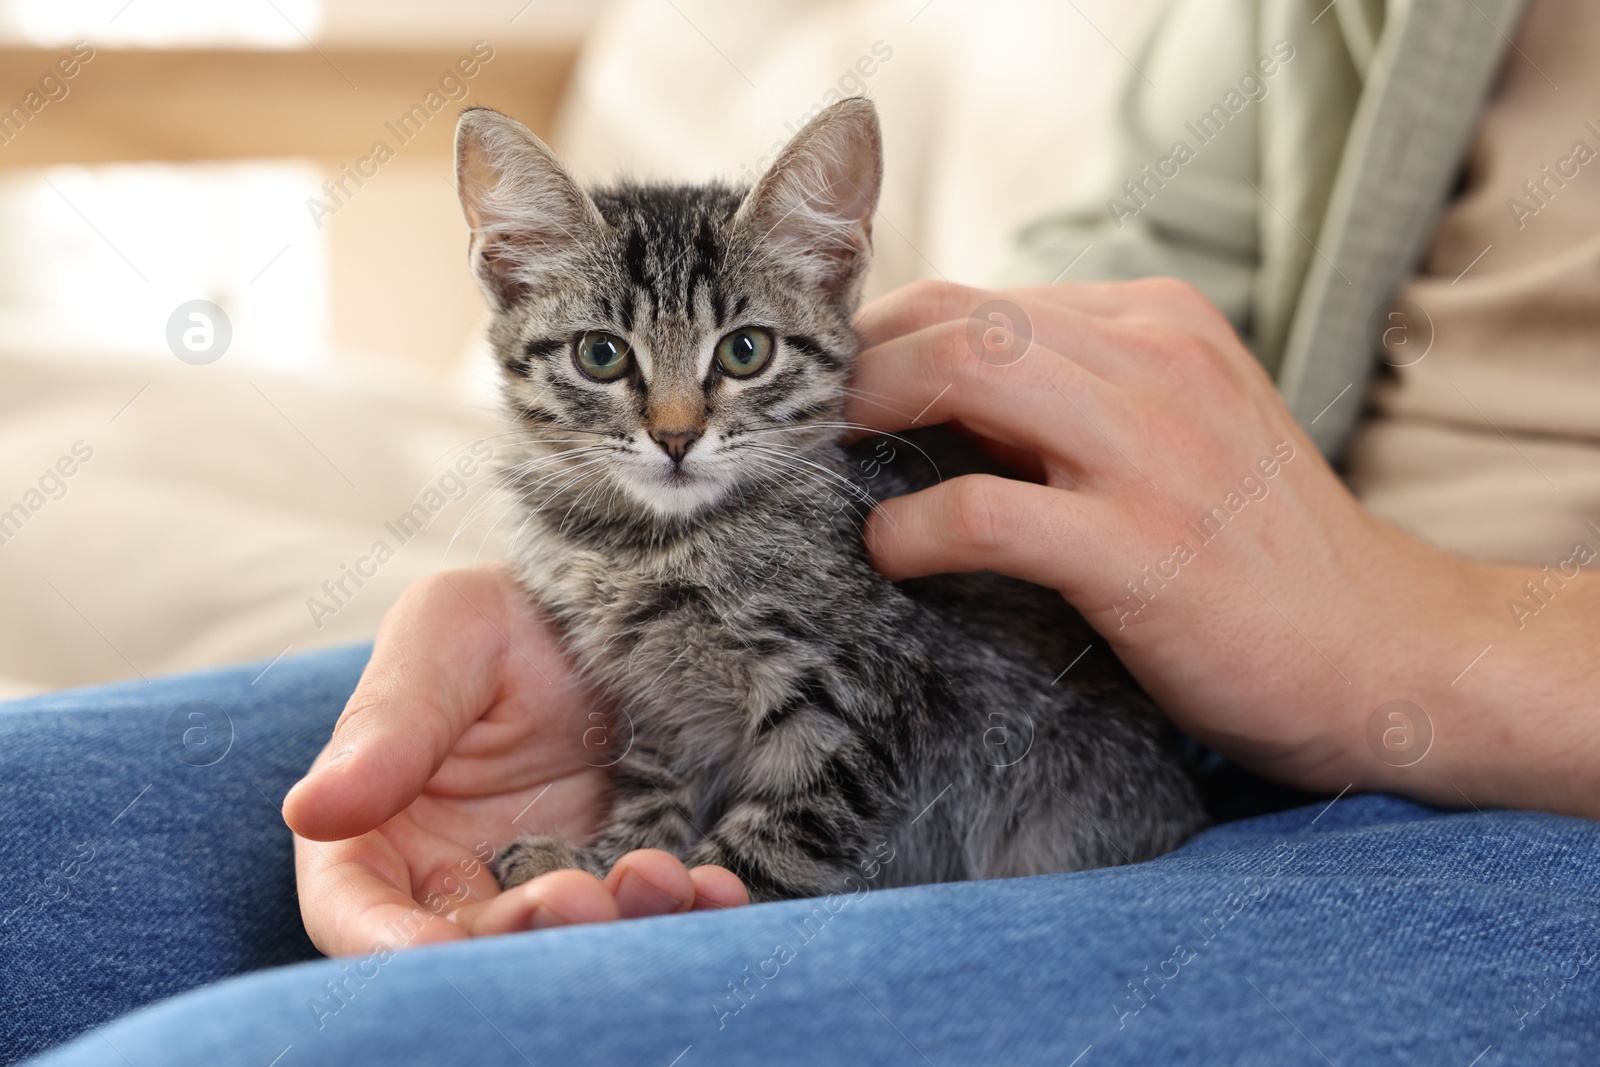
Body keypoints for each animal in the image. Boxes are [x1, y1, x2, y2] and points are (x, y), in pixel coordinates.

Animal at [457, 97, 1203, 902]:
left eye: (745, 351)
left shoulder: (866, 706)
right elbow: (656, 790)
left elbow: (776, 844)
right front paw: (607, 860)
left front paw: (687, 884)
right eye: (601, 354)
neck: (653, 545)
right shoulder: (662, 709)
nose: (676, 437)